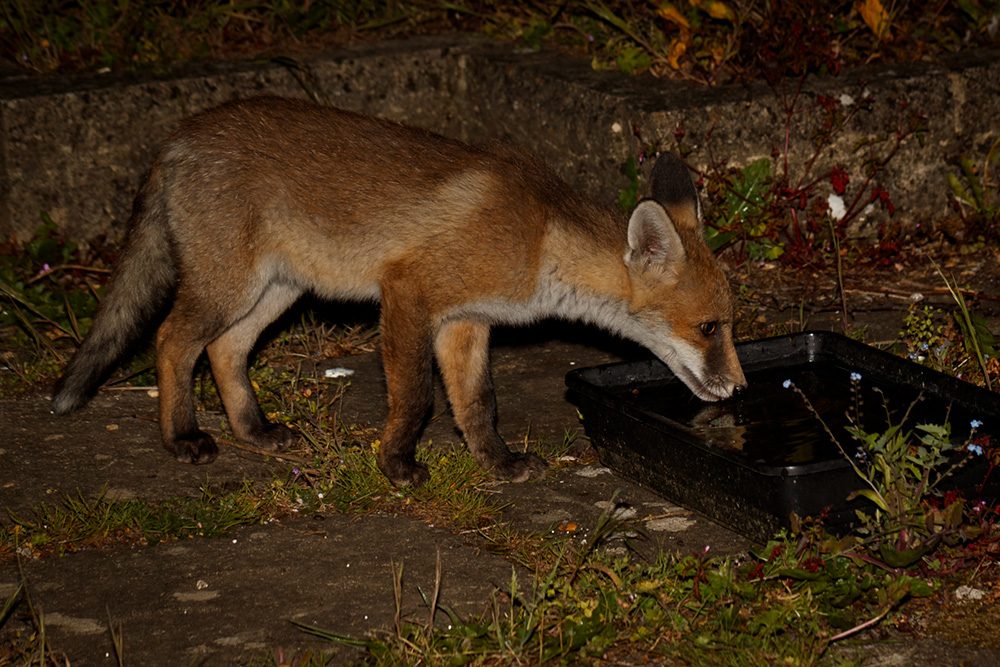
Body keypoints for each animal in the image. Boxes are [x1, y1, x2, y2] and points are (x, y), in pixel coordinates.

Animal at [52, 96, 746, 487]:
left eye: (729, 324)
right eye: (710, 327)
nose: (741, 389)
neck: (540, 240)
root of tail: (180, 135)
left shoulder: (467, 321)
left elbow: (478, 403)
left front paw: (496, 463)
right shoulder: (409, 293)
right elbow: (415, 398)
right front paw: (396, 466)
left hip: (276, 290)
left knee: (226, 351)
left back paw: (254, 431)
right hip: (228, 285)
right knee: (172, 342)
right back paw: (182, 439)